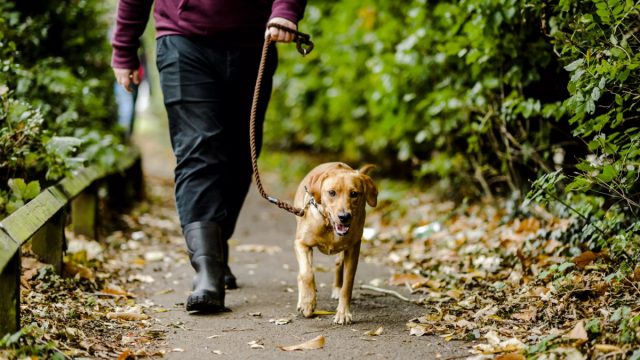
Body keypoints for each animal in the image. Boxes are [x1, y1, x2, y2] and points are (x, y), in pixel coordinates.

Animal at [294, 162, 378, 324]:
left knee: (339, 263)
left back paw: (336, 289)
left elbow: (348, 284)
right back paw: (302, 300)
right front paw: (308, 303)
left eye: (354, 193)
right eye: (332, 192)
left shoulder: (353, 249)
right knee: (302, 274)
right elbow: (307, 274)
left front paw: (343, 313)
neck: (329, 226)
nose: (344, 216)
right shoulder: (301, 243)